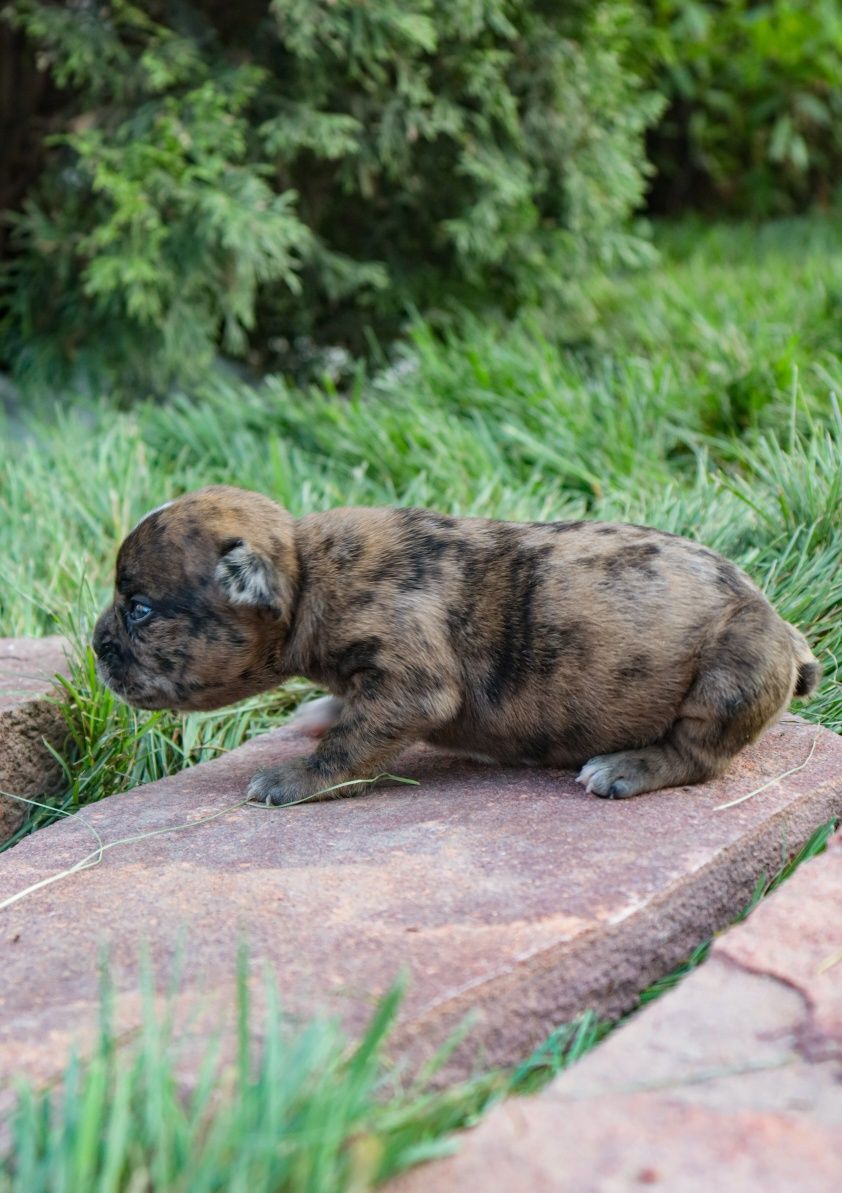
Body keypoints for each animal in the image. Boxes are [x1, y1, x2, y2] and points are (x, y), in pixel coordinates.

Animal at [93, 489, 820, 806]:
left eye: (140, 609)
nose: (97, 646)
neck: (306, 570)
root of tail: (786, 632)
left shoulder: (411, 686)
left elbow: (349, 745)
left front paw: (293, 777)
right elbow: (344, 714)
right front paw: (318, 711)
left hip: (732, 670)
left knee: (699, 755)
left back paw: (627, 767)